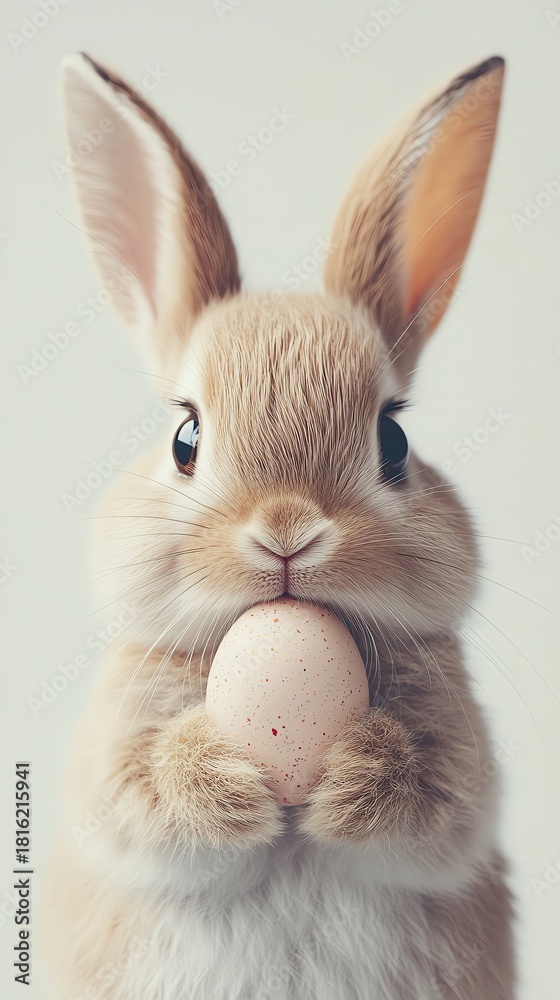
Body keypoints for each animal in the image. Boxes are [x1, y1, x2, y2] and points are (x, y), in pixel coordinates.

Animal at [43, 52, 516, 1000]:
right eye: (185, 440)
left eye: (393, 440)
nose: (287, 530)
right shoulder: (113, 765)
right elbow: (142, 790)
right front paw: (226, 776)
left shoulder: (461, 765)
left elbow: (434, 790)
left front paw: (353, 769)